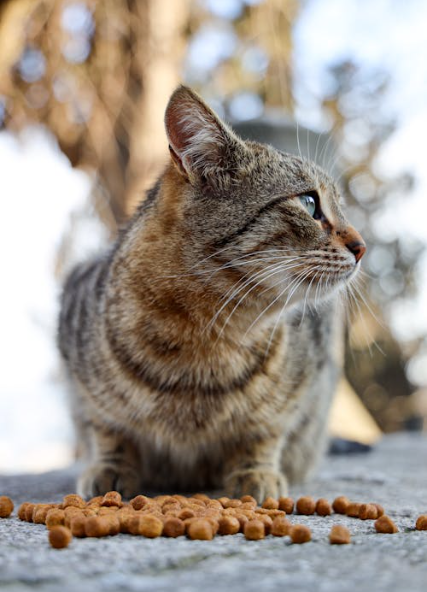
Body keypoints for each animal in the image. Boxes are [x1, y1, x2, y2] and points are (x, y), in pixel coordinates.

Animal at [57, 84, 368, 500]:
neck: (204, 339)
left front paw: (257, 471)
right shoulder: (77, 350)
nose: (362, 246)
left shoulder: (304, 381)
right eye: (308, 203)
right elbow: (106, 426)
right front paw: (111, 466)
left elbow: (266, 430)